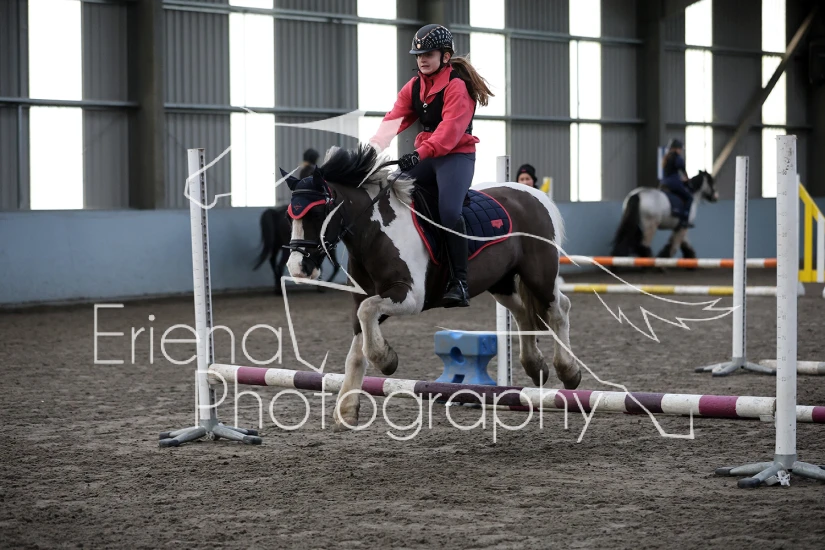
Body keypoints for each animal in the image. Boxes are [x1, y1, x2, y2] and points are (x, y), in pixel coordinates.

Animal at [281, 143, 580, 430]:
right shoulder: (366, 298)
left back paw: (569, 371)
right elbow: (358, 347)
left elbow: (367, 315)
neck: (376, 233)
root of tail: (534, 194)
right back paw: (536, 366)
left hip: (538, 274)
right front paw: (346, 412)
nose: (298, 268)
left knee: (559, 309)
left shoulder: (409, 297)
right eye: (289, 216)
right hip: (502, 281)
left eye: (317, 212)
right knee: (522, 313)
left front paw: (387, 360)